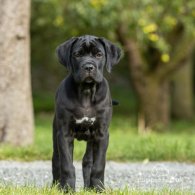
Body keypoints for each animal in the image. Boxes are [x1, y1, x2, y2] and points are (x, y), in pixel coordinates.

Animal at [52, 34, 121, 191]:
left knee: (88, 161)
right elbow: (67, 165)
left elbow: (99, 165)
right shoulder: (64, 134)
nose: (88, 66)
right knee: (56, 161)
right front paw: (67, 189)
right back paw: (55, 186)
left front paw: (98, 189)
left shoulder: (102, 134)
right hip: (55, 135)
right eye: (77, 54)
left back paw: (89, 188)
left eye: (99, 55)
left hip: (91, 141)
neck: (86, 92)